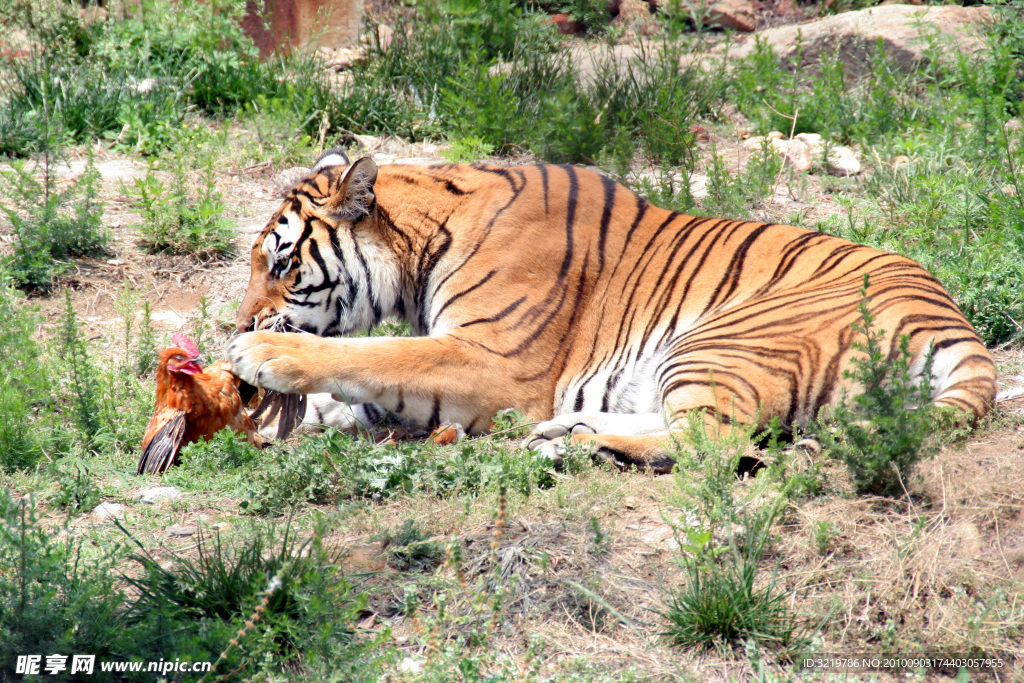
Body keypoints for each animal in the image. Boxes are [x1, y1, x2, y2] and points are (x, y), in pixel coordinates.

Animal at [228, 149, 995, 473]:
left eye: (282, 264)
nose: (238, 326)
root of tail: (951, 319)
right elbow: (365, 386)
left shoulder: (493, 362)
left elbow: (377, 356)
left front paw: (267, 358)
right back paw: (571, 429)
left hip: (718, 339)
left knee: (714, 444)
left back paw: (568, 444)